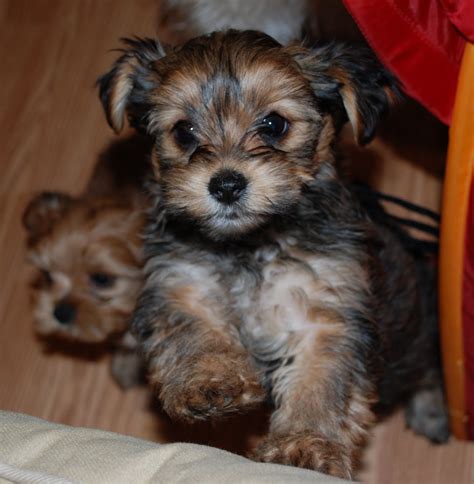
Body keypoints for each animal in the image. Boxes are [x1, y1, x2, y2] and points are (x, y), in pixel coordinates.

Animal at [97, 32, 448, 478]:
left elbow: (319, 380)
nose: (226, 185)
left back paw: (431, 408)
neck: (251, 242)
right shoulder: (181, 280)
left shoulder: (326, 312)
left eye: (274, 124)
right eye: (183, 131)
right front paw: (211, 377)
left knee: (428, 364)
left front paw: (304, 444)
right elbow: (192, 326)